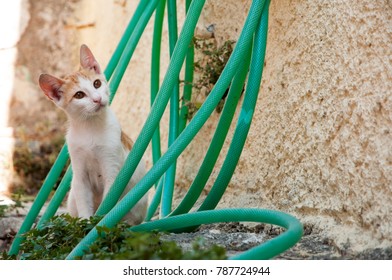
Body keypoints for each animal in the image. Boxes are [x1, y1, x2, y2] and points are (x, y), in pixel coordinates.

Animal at [39, 44, 147, 224]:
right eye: (79, 95)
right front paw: (85, 224)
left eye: (97, 83)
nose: (97, 99)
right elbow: (84, 203)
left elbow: (107, 202)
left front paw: (98, 223)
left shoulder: (112, 170)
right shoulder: (80, 175)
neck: (90, 126)